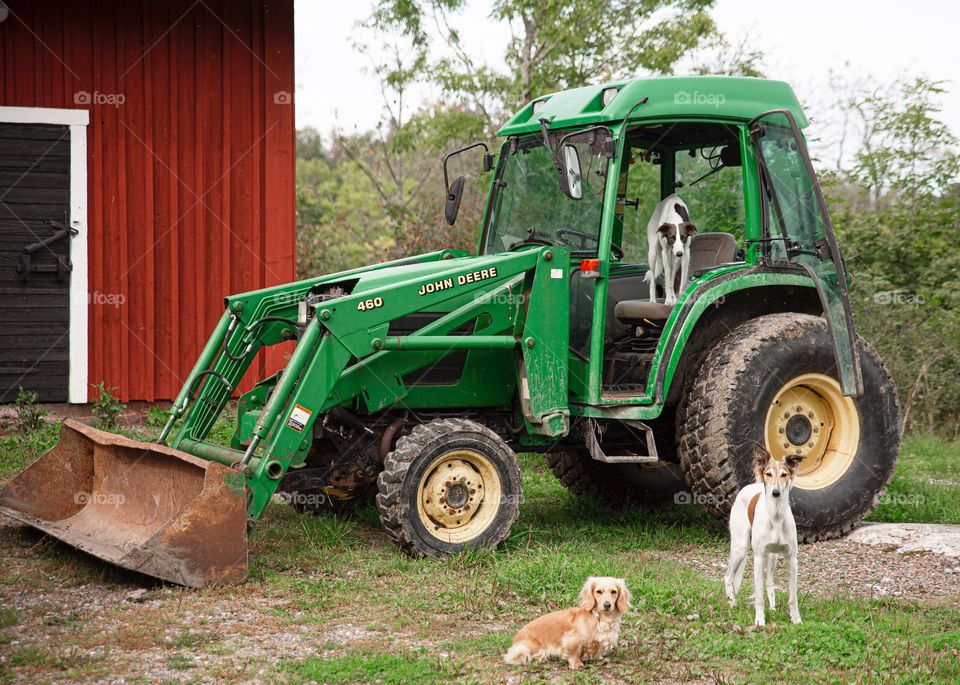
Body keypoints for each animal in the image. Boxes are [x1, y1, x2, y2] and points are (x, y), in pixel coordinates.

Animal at [724, 444, 808, 624]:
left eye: (784, 474)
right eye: (768, 474)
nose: (775, 492)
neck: (776, 516)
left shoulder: (792, 559)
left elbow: (793, 596)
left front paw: (796, 619)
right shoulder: (758, 557)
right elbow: (758, 596)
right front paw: (760, 621)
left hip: (772, 556)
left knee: (769, 581)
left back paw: (773, 607)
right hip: (740, 548)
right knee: (728, 577)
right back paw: (732, 604)